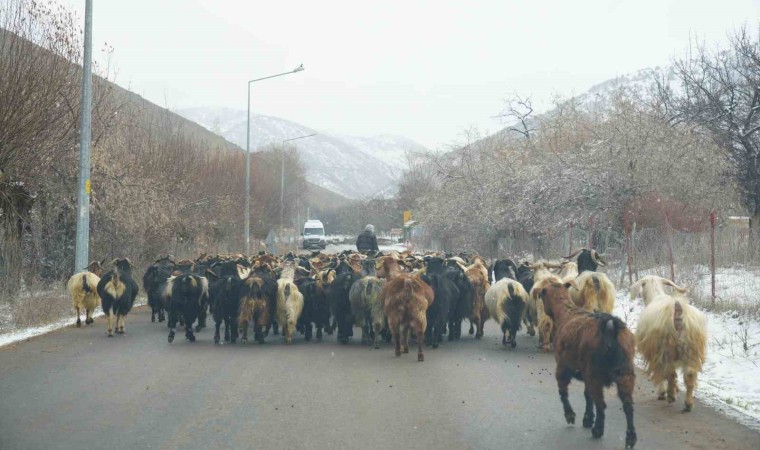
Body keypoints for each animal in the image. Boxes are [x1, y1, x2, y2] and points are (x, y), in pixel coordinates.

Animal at [536, 284, 640, 448]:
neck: (566, 312)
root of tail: (610, 328)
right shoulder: (585, 374)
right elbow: (587, 395)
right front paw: (587, 418)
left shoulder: (563, 367)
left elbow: (563, 391)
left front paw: (570, 415)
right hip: (625, 374)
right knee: (628, 405)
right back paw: (630, 438)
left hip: (595, 375)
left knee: (601, 404)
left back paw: (598, 430)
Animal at [628, 276, 708, 410]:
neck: (656, 295)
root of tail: (677, 310)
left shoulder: (654, 353)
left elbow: (661, 373)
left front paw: (662, 392)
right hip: (692, 350)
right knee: (689, 375)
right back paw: (688, 403)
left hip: (666, 349)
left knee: (670, 373)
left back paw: (671, 396)